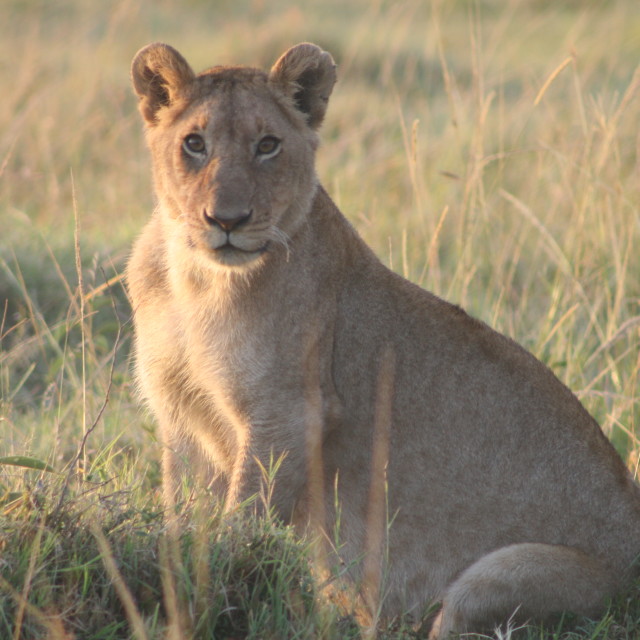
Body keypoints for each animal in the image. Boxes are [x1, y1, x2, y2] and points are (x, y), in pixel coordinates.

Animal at [129, 42, 640, 636]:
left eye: (267, 145)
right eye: (194, 143)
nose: (227, 220)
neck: (194, 280)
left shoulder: (290, 413)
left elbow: (242, 522)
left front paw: (228, 591)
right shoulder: (179, 412)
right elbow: (182, 517)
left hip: (501, 578)